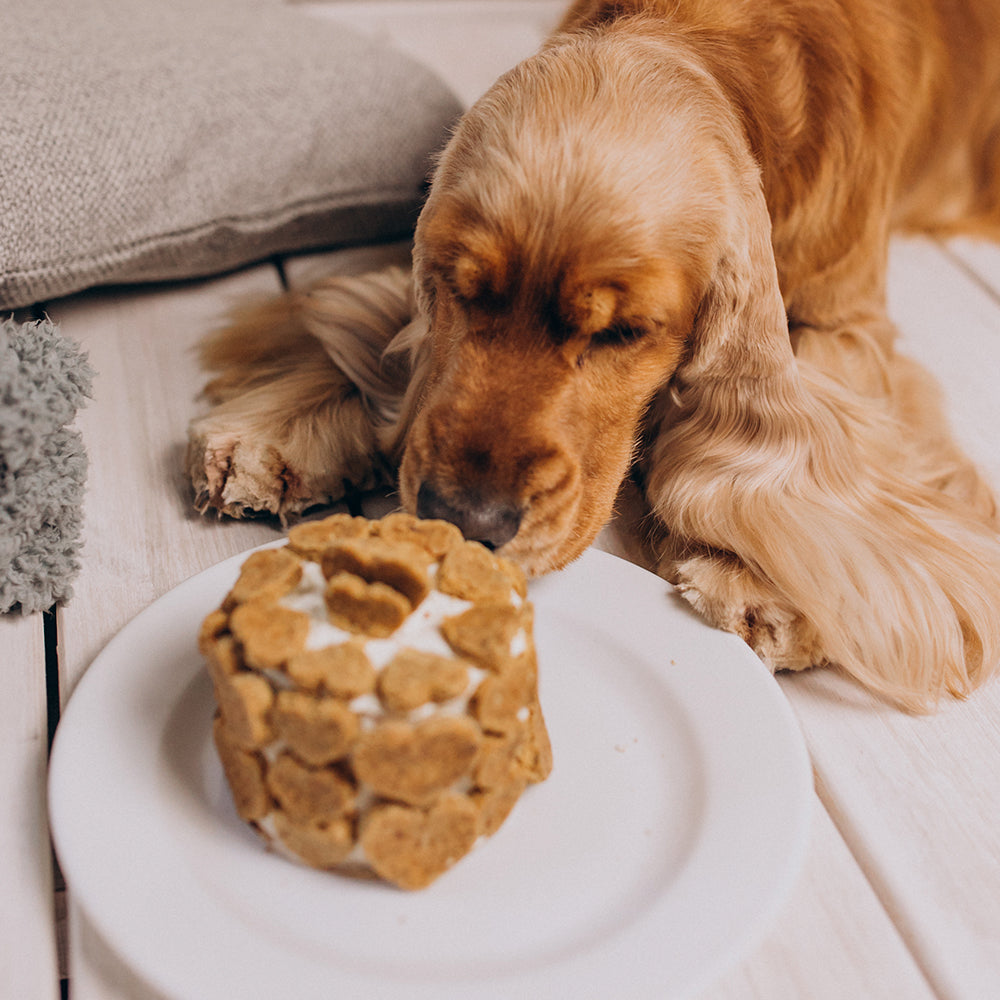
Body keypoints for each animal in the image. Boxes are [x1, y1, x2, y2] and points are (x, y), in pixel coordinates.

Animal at [191, 0, 1000, 712]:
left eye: (623, 332)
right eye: (460, 289)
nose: (467, 521)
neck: (699, 37)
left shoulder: (849, 317)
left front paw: (762, 582)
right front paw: (279, 432)